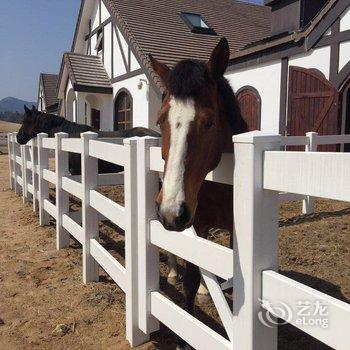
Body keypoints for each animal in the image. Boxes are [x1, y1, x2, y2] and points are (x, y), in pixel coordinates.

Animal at [149, 36, 247, 348]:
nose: (171, 211)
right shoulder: (197, 223)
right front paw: (186, 334)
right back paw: (172, 271)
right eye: (161, 121)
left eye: (209, 122)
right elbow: (191, 277)